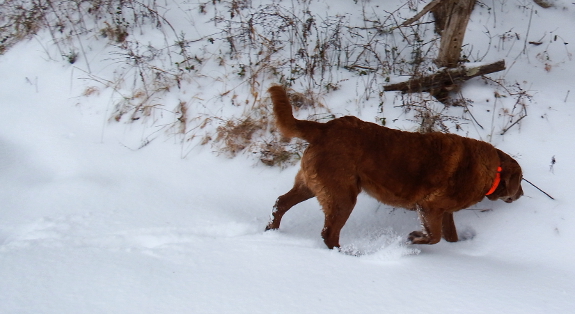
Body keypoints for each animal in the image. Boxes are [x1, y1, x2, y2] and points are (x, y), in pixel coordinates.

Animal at [268, 85, 524, 248]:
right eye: (520, 181)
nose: (521, 194)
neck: (492, 171)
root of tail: (324, 128)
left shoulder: (444, 211)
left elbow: (450, 236)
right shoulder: (429, 207)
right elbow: (434, 237)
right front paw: (414, 238)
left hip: (312, 184)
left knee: (281, 202)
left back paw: (271, 231)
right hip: (342, 196)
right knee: (328, 233)